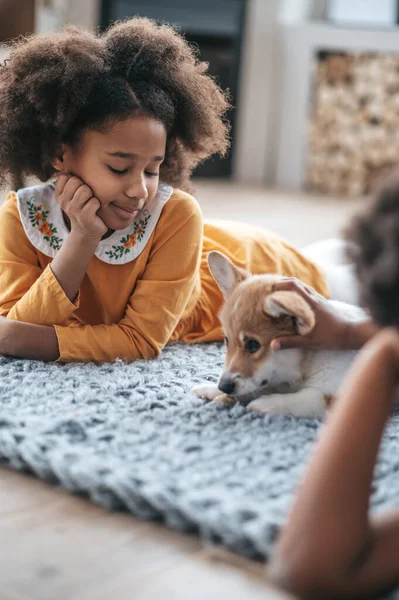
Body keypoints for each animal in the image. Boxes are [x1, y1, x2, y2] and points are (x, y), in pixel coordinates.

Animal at [192, 250, 368, 418]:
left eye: (253, 344)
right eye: (227, 341)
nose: (224, 386)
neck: (307, 360)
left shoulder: (333, 393)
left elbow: (301, 398)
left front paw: (265, 403)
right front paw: (209, 389)